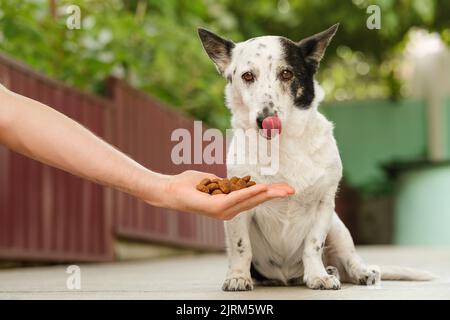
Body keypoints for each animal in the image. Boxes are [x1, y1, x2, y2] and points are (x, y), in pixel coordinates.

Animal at [198, 25, 432, 290]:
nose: (265, 119)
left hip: (338, 227)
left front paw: (318, 276)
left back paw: (356, 272)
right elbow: (240, 247)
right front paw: (238, 276)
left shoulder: (324, 205)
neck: (283, 145)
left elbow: (313, 245)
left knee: (350, 259)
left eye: (287, 73)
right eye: (247, 76)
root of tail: (287, 277)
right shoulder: (238, 210)